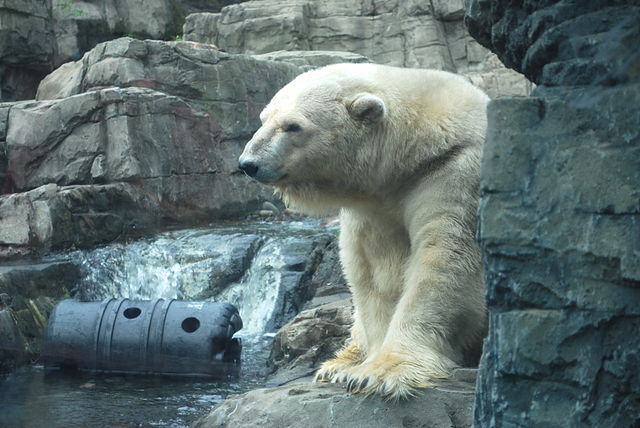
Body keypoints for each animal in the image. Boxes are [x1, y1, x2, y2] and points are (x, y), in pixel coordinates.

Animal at [239, 63, 489, 399]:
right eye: (264, 118)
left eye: (293, 126)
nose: (248, 163)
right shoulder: (375, 205)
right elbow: (375, 272)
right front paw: (362, 369)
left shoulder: (455, 172)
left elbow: (444, 260)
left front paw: (382, 372)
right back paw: (337, 364)